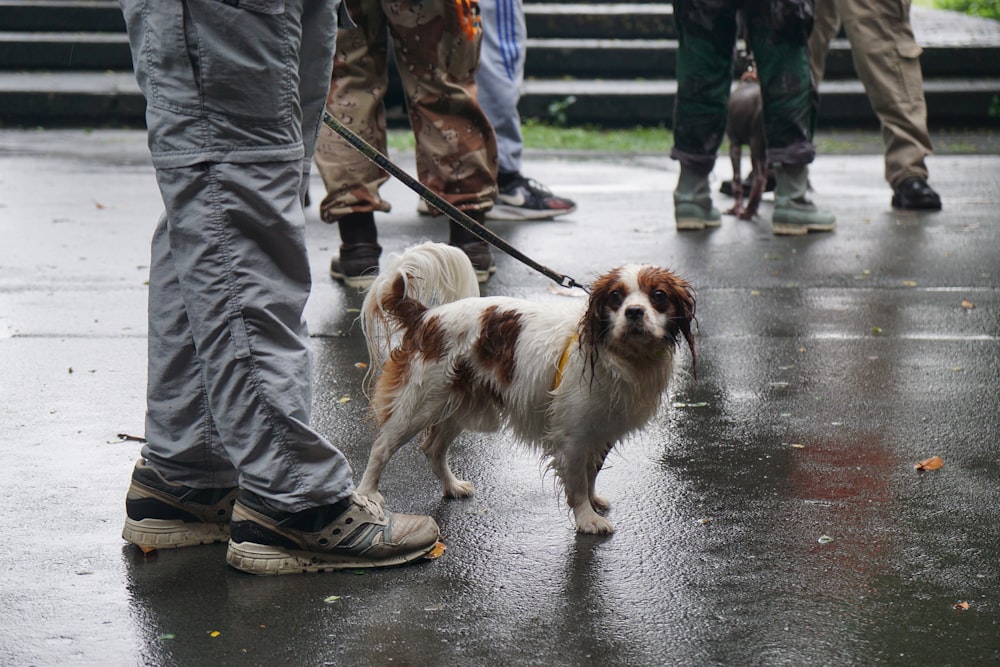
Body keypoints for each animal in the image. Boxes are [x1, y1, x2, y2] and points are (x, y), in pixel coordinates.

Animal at [358, 243, 696, 536]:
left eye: (658, 295)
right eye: (616, 296)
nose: (634, 312)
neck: (624, 357)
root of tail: (426, 316)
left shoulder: (603, 428)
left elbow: (592, 473)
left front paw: (593, 501)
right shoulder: (573, 435)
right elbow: (577, 481)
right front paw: (587, 518)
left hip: (457, 402)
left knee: (433, 448)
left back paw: (452, 487)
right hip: (418, 404)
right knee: (382, 447)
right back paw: (367, 495)